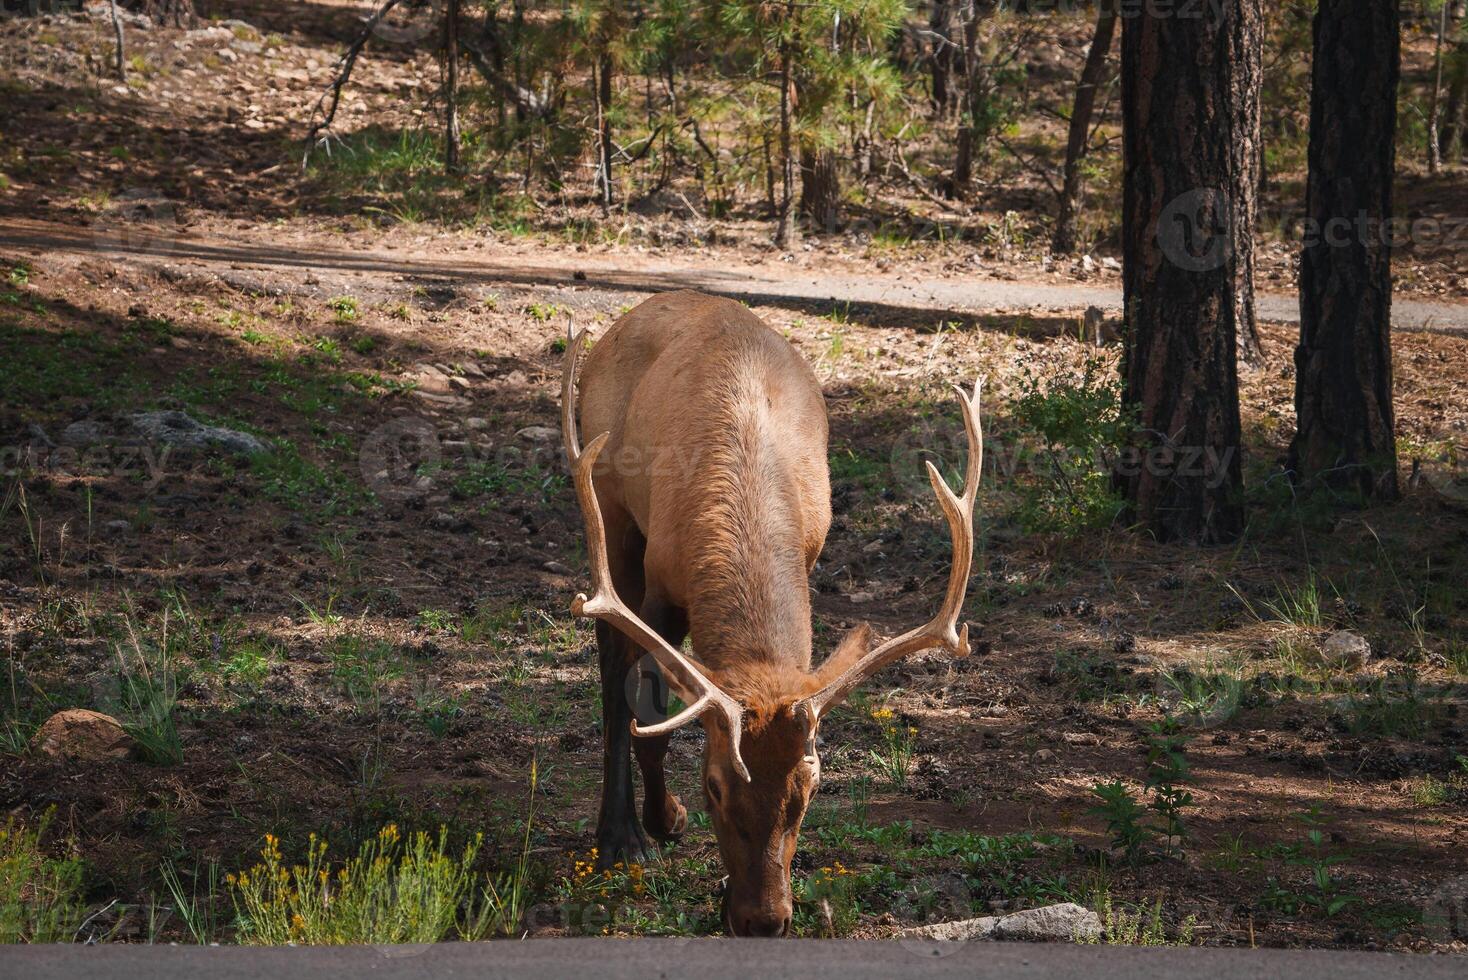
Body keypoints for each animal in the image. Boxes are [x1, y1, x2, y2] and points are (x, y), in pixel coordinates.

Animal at [560, 289, 986, 933]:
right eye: (714, 786)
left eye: (809, 790)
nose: (764, 920)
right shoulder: (663, 583)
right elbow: (648, 718)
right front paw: (663, 821)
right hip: (612, 510)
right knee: (611, 658)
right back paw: (620, 834)